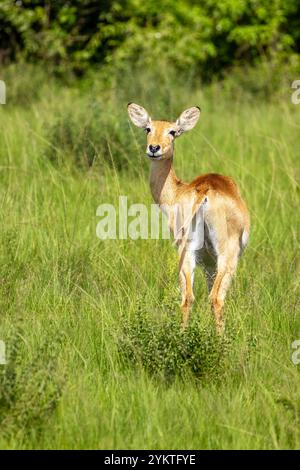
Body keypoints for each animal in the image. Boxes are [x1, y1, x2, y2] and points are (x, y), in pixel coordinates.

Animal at [127, 103, 251, 332]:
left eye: (172, 131)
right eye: (148, 128)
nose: (154, 148)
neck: (178, 191)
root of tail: (204, 192)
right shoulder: (211, 263)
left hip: (186, 251)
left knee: (187, 298)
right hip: (226, 255)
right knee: (216, 298)